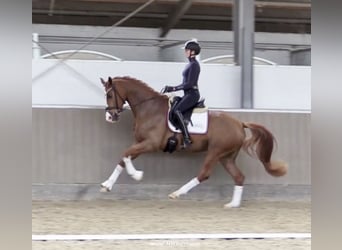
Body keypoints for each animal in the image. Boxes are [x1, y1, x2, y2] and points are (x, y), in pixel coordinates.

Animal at [100, 75, 288, 207]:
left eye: (109, 95)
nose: (110, 117)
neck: (149, 108)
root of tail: (239, 123)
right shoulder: (141, 143)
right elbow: (124, 157)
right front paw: (107, 185)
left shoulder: (150, 144)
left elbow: (126, 154)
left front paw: (136, 175)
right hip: (226, 157)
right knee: (239, 176)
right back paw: (232, 204)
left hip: (215, 152)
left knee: (204, 174)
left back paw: (177, 193)